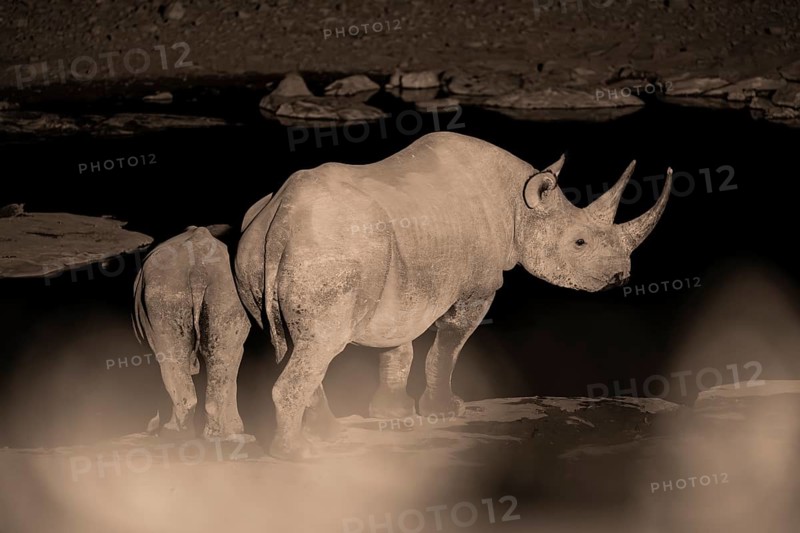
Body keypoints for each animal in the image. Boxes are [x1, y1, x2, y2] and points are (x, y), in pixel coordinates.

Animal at [235, 131, 672, 460]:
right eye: (580, 242)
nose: (619, 276)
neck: (519, 205)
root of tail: (281, 219)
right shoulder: (477, 287)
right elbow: (448, 346)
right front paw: (445, 411)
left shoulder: (405, 283)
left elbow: (398, 348)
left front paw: (394, 414)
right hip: (330, 247)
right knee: (323, 343)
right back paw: (300, 454)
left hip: (259, 248)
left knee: (305, 346)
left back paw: (328, 435)